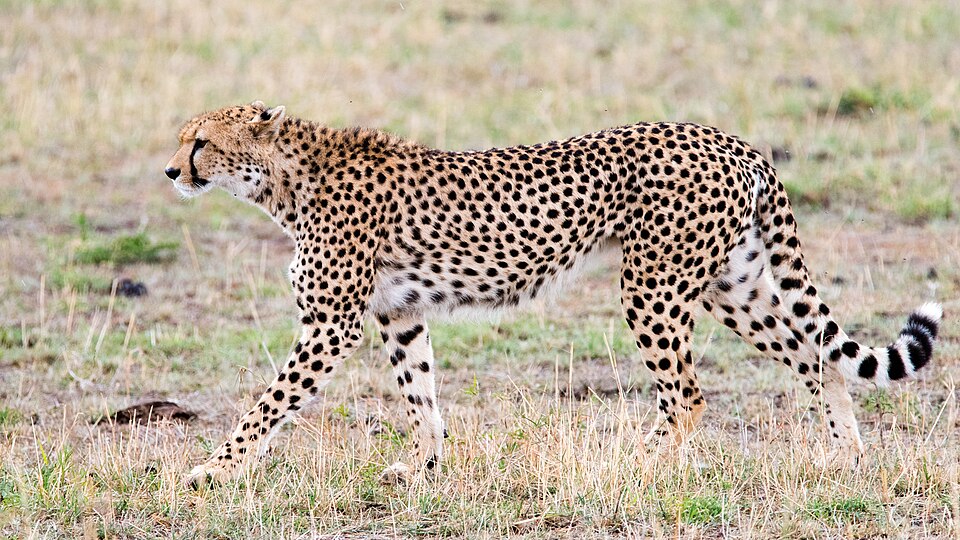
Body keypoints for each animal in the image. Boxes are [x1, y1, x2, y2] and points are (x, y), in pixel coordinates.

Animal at [164, 101, 943, 487]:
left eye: (200, 142)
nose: (172, 171)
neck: (284, 178)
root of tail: (726, 137)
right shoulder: (400, 313)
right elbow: (421, 399)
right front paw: (422, 469)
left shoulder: (332, 325)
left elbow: (266, 405)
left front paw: (210, 470)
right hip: (734, 286)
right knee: (814, 355)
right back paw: (845, 456)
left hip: (653, 286)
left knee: (688, 394)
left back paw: (636, 465)